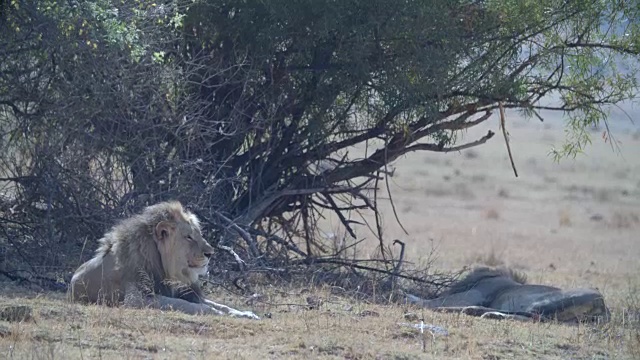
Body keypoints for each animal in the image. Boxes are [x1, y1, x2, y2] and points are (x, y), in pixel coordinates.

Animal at [69, 200, 258, 320]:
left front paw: (246, 314)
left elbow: (222, 305)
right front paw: (213, 312)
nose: (210, 253)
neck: (167, 270)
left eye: (198, 234)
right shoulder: (137, 299)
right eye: (189, 237)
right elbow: (183, 304)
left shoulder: (186, 292)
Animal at [404, 268, 608, 324]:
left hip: (546, 301)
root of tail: (604, 305)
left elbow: (432, 300)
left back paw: (479, 312)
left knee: (534, 317)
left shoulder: (473, 294)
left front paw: (407, 297)